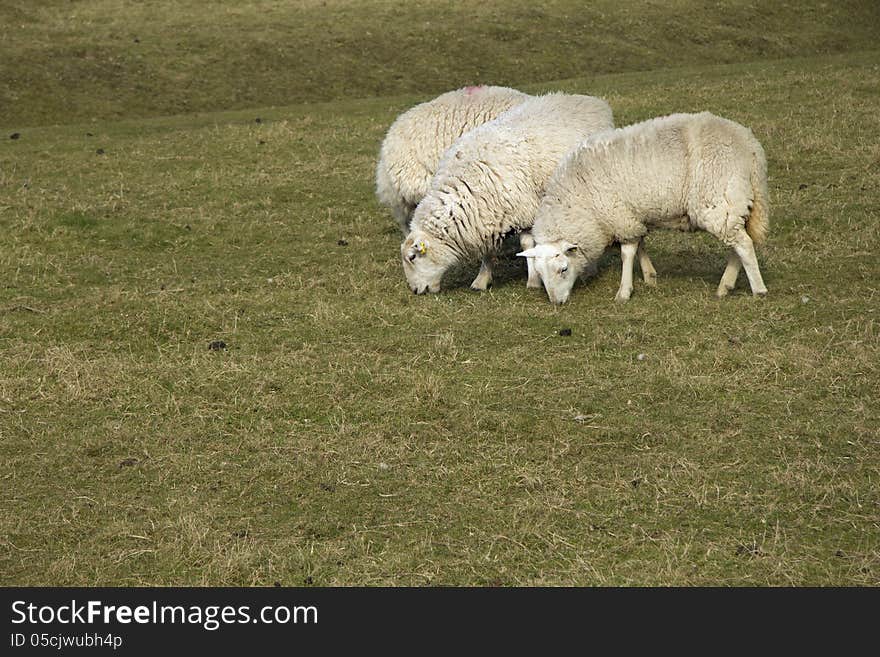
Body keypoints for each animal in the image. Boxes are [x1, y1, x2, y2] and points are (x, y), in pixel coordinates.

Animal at [402, 93, 616, 294]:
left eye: (412, 257)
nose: (416, 290)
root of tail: (591, 101)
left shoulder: (525, 212)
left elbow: (528, 245)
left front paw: (533, 281)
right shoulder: (485, 218)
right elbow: (487, 250)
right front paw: (481, 280)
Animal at [520, 112, 768, 304]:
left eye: (563, 269)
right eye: (539, 273)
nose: (557, 303)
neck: (577, 199)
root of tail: (751, 148)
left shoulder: (620, 216)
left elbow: (627, 253)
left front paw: (624, 292)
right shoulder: (633, 216)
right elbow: (640, 245)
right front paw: (649, 276)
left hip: (718, 201)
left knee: (743, 245)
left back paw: (758, 289)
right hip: (734, 203)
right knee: (739, 244)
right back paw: (725, 286)